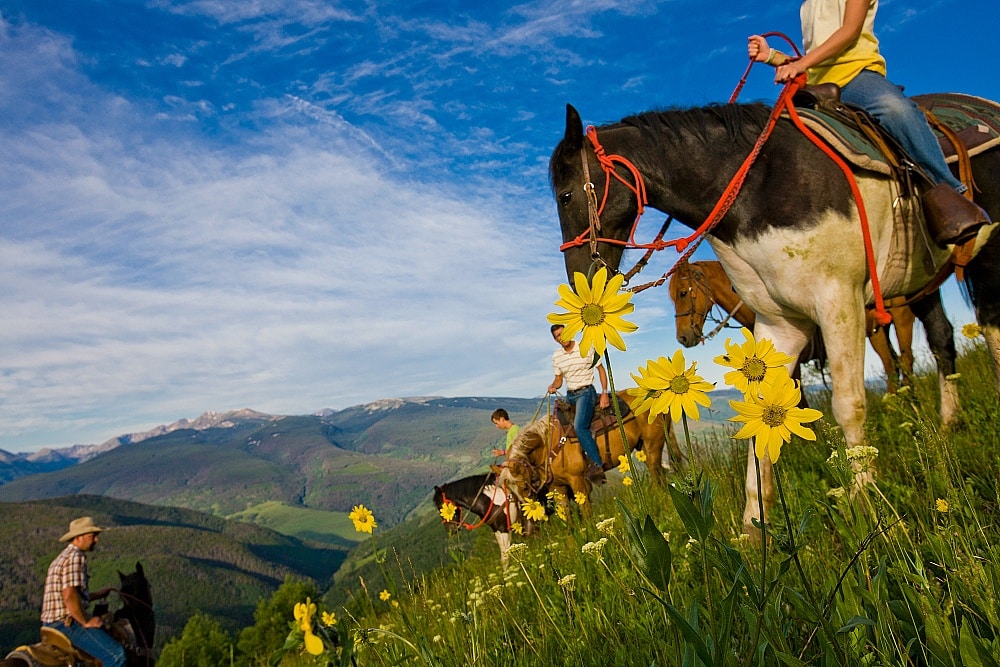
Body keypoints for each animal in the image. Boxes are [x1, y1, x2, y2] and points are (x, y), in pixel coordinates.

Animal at [496, 388, 676, 508]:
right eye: (511, 492)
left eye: (524, 487)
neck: (549, 445)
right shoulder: (558, 488)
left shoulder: (578, 482)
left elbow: (586, 512)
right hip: (643, 447)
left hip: (653, 445)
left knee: (656, 472)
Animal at [668, 260, 956, 396]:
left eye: (682, 293)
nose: (682, 338)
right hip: (877, 332)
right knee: (891, 364)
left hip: (902, 316)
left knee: (906, 360)